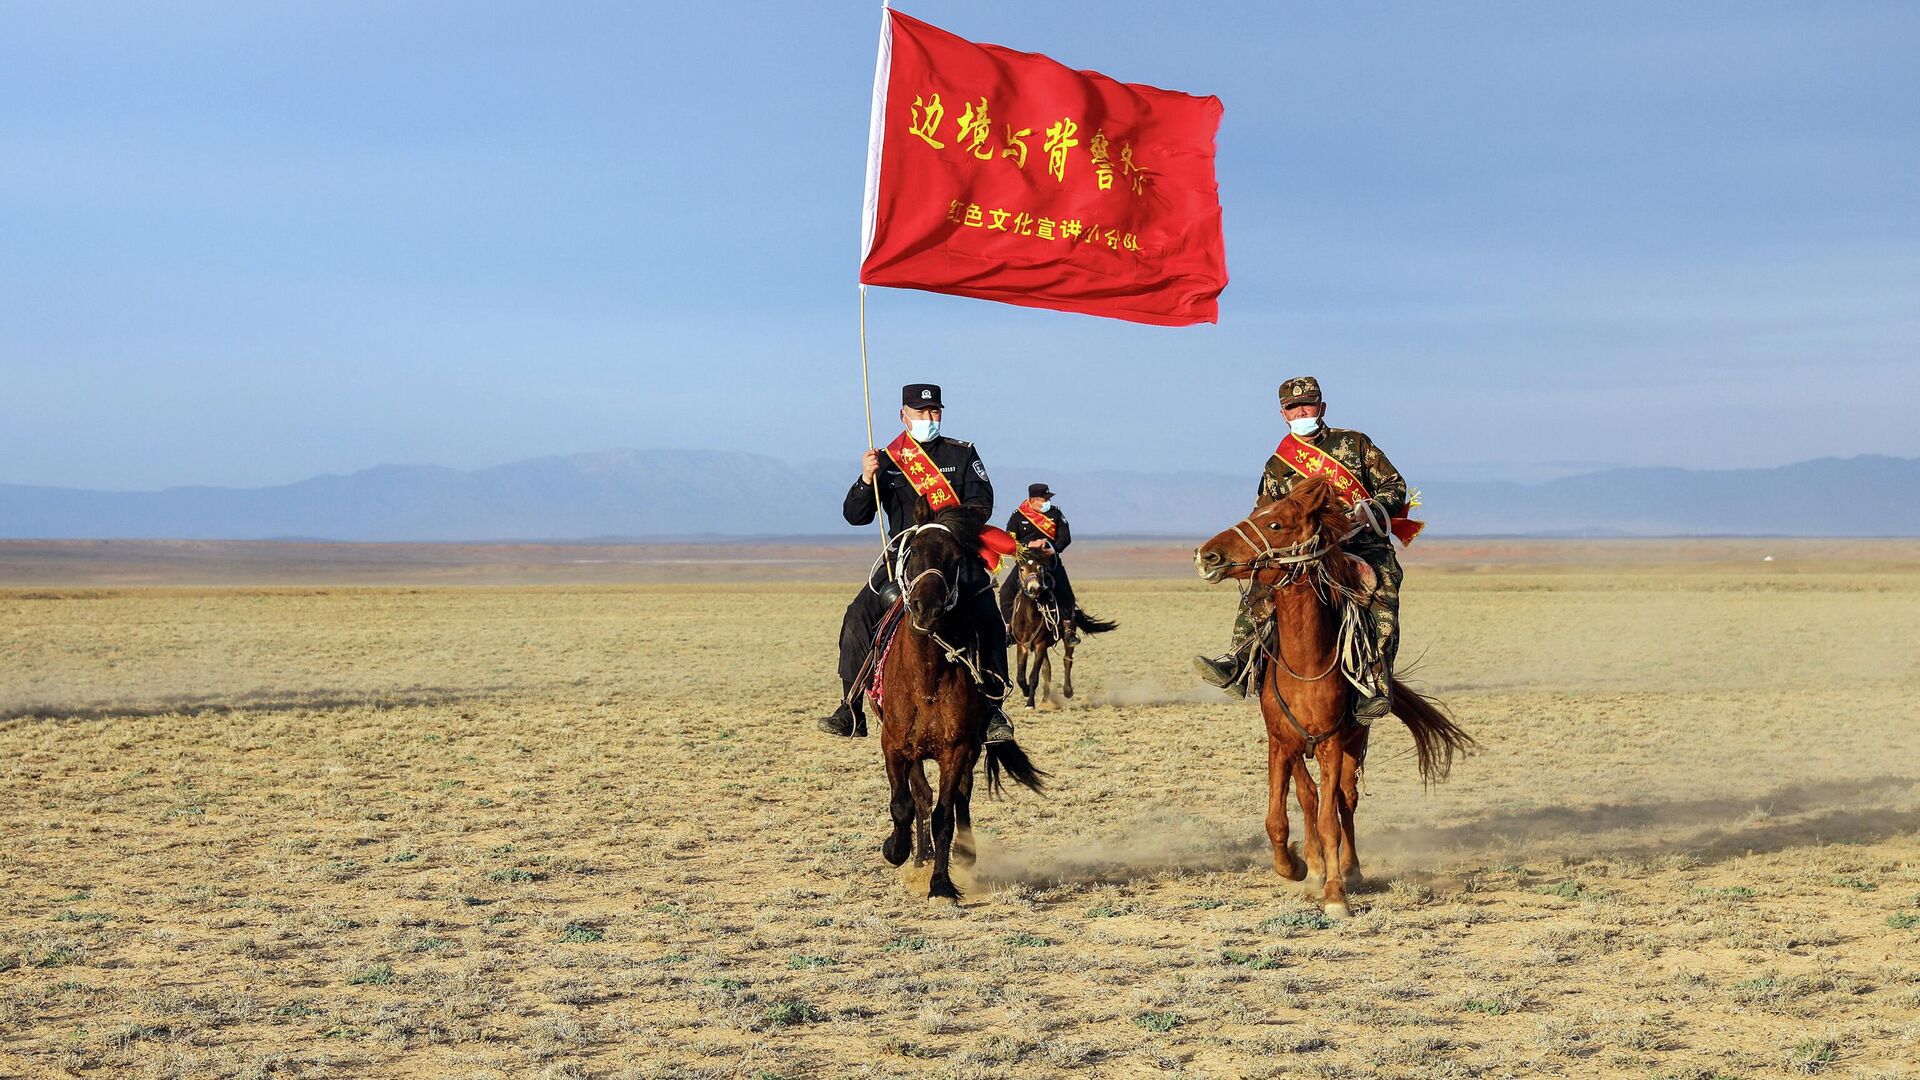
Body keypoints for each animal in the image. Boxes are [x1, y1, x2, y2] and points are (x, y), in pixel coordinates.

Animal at [875, 499, 1044, 895]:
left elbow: (945, 816)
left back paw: (963, 855)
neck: (926, 679)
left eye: (955, 559)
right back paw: (919, 856)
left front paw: (941, 884)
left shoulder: (956, 749)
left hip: (970, 747)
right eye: (913, 551)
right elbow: (904, 804)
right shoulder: (894, 745)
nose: (927, 607)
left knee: (961, 798)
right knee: (920, 796)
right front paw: (896, 849)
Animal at [1013, 545, 1121, 707]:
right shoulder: (1023, 645)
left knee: (1067, 660)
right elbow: (1021, 676)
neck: (1030, 616)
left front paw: (1030, 703)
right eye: (1021, 569)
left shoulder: (1040, 644)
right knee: (1047, 668)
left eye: (1040, 568)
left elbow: (1033, 676)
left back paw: (1067, 691)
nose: (1034, 588)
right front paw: (1026, 692)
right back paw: (1046, 699)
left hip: (1066, 638)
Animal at [1190, 474, 1474, 910]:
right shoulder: (1281, 743)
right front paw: (1295, 867)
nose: (1208, 556)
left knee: (1344, 800)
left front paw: (1337, 891)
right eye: (1258, 511)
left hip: (1354, 742)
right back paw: (1315, 866)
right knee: (1309, 797)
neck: (1306, 665)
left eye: (1276, 524)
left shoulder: (1331, 744)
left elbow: (1330, 819)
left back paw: (1348, 867)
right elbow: (1279, 817)